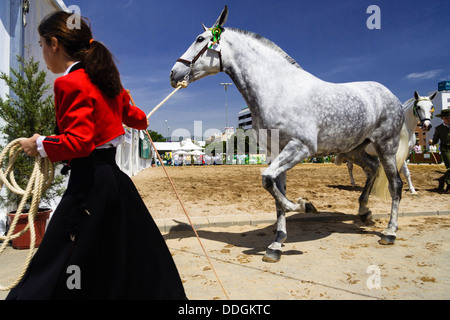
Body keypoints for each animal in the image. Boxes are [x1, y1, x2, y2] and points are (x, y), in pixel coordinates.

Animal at [169, 6, 412, 262]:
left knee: (395, 185)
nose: (173, 74)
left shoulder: (301, 147)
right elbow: (276, 191)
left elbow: (267, 179)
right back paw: (364, 211)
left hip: (386, 145)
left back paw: (389, 232)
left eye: (200, 39)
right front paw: (276, 244)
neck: (279, 89)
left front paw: (306, 205)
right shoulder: (275, 152)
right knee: (372, 169)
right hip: (353, 150)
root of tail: (392, 96)